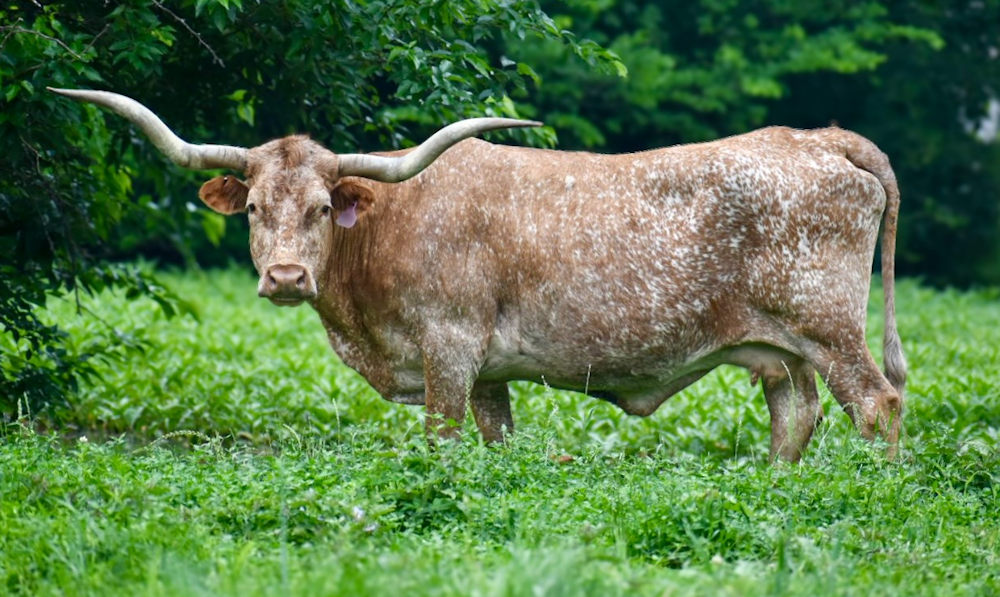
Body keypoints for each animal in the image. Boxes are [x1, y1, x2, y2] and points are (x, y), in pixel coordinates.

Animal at [50, 87, 906, 461]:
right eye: (256, 207)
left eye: (325, 207)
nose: (287, 277)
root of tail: (821, 136)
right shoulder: (491, 372)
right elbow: (496, 443)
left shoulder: (450, 348)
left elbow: (442, 440)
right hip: (780, 347)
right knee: (795, 414)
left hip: (832, 328)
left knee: (878, 404)